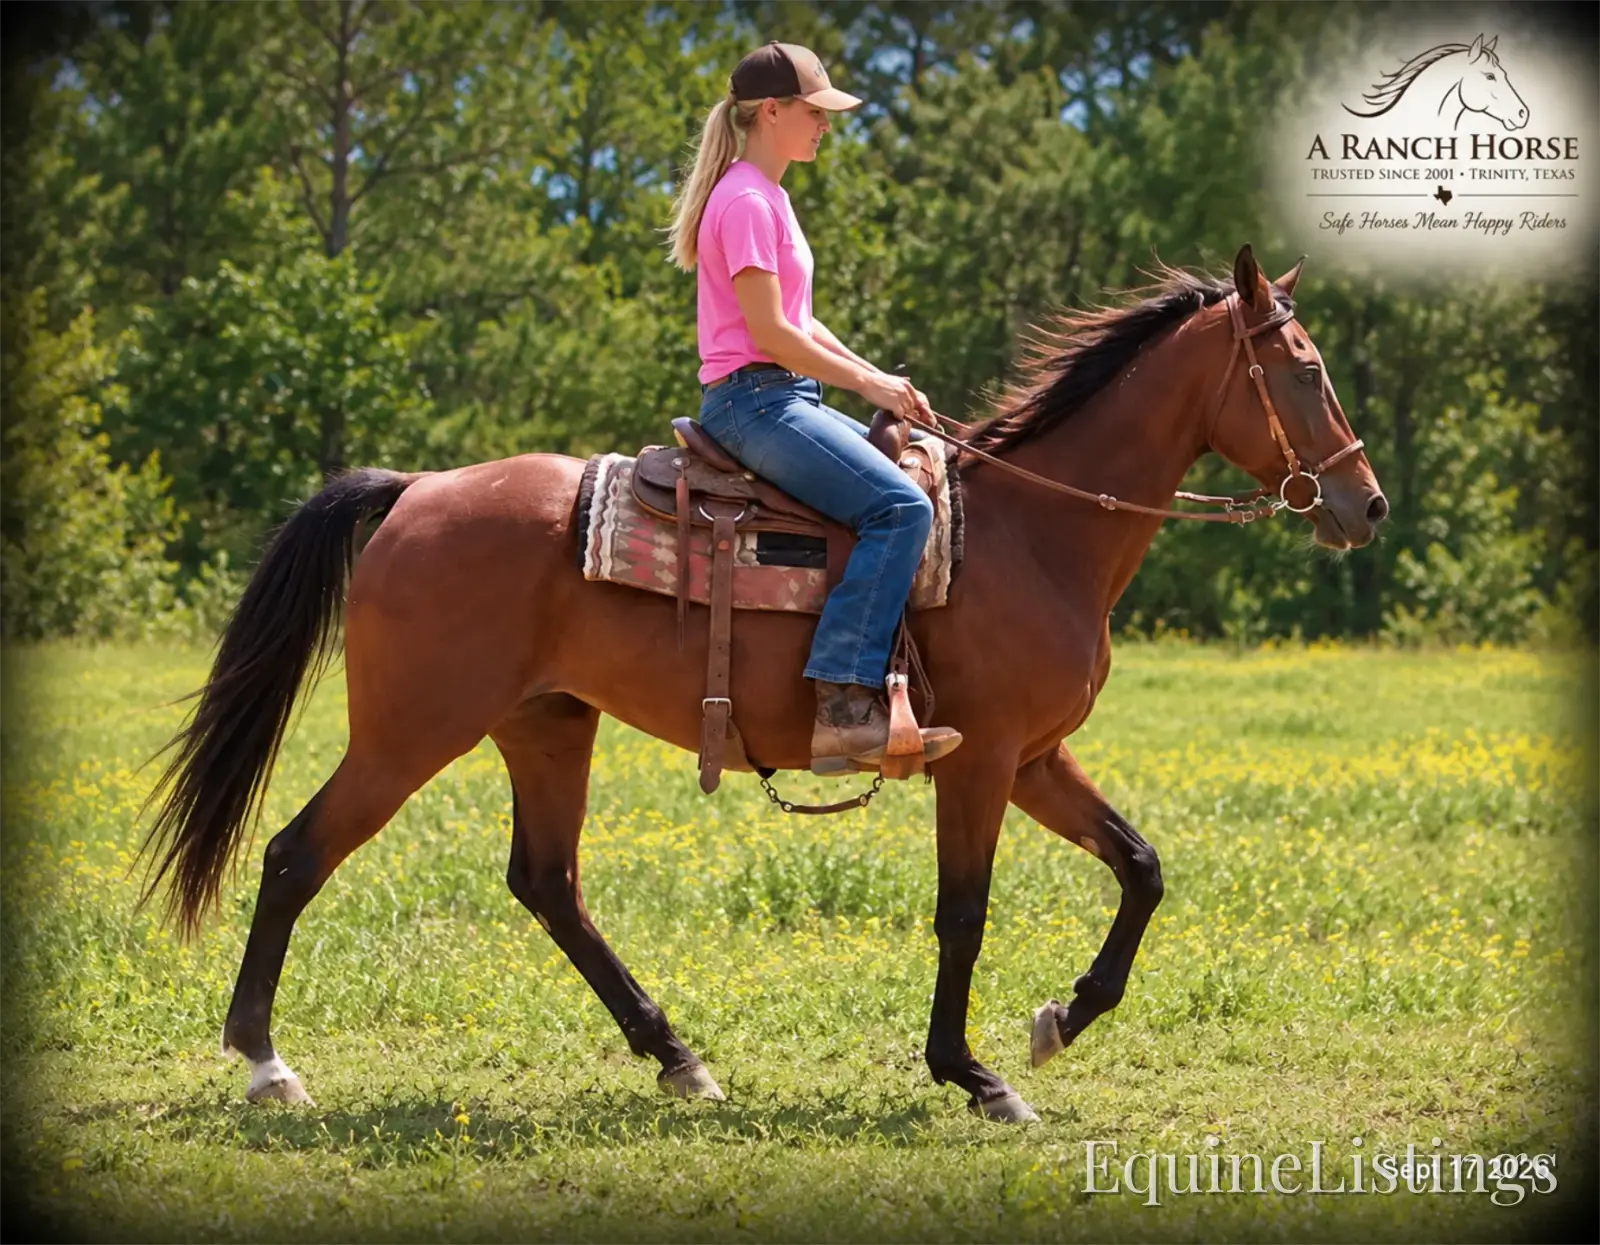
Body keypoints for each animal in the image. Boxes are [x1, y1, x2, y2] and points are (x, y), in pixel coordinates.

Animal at [135, 243, 1387, 1124]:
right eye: (1306, 369)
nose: (1365, 505)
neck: (1032, 532)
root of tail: (414, 491)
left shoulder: (1034, 757)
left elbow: (1141, 866)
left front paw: (1058, 1021)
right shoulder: (980, 760)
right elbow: (965, 912)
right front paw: (974, 1074)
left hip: (546, 726)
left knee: (548, 883)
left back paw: (678, 1058)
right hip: (409, 732)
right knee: (296, 854)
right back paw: (265, 1065)